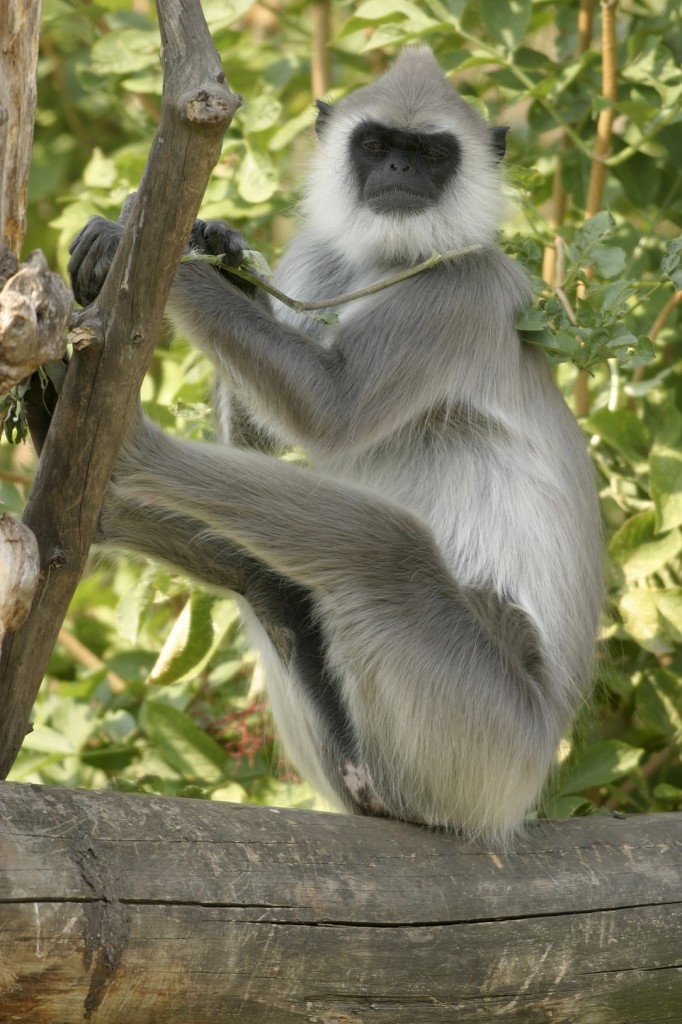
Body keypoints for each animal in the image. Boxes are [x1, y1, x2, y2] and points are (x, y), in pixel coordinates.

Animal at [67, 48, 602, 843]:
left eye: (429, 153)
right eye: (376, 146)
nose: (399, 172)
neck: (390, 263)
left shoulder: (466, 284)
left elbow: (330, 411)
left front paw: (156, 245)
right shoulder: (320, 261)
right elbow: (266, 435)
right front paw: (218, 247)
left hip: (485, 746)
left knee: (381, 547)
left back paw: (130, 454)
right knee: (267, 575)